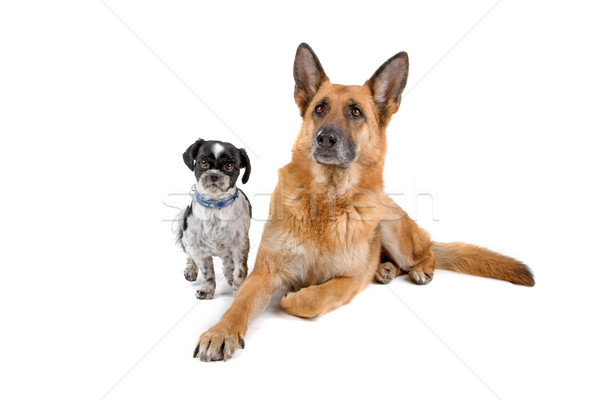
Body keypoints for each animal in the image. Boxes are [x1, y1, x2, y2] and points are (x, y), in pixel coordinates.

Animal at [178, 139, 253, 298]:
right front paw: (207, 290)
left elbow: (239, 271)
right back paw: (190, 270)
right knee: (189, 256)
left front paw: (239, 290)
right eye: (203, 162)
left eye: (229, 165)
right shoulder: (198, 249)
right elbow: (208, 273)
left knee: (228, 265)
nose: (213, 175)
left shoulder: (240, 246)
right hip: (186, 239)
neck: (215, 208)